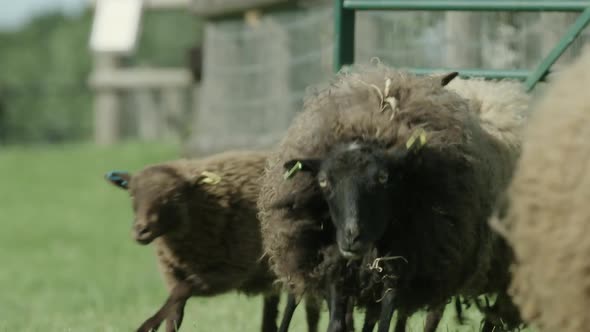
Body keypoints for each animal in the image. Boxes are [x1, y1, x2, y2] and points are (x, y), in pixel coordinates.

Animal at [104, 150, 322, 332]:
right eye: (132, 195)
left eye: (175, 197)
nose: (141, 231)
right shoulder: (173, 274)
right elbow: (175, 311)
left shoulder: (230, 271)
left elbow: (182, 290)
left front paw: (148, 325)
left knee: (307, 308)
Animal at [260, 63, 532, 332]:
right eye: (324, 181)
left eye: (383, 178)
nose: (351, 236)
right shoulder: (335, 266)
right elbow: (337, 323)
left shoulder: (401, 269)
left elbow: (383, 322)